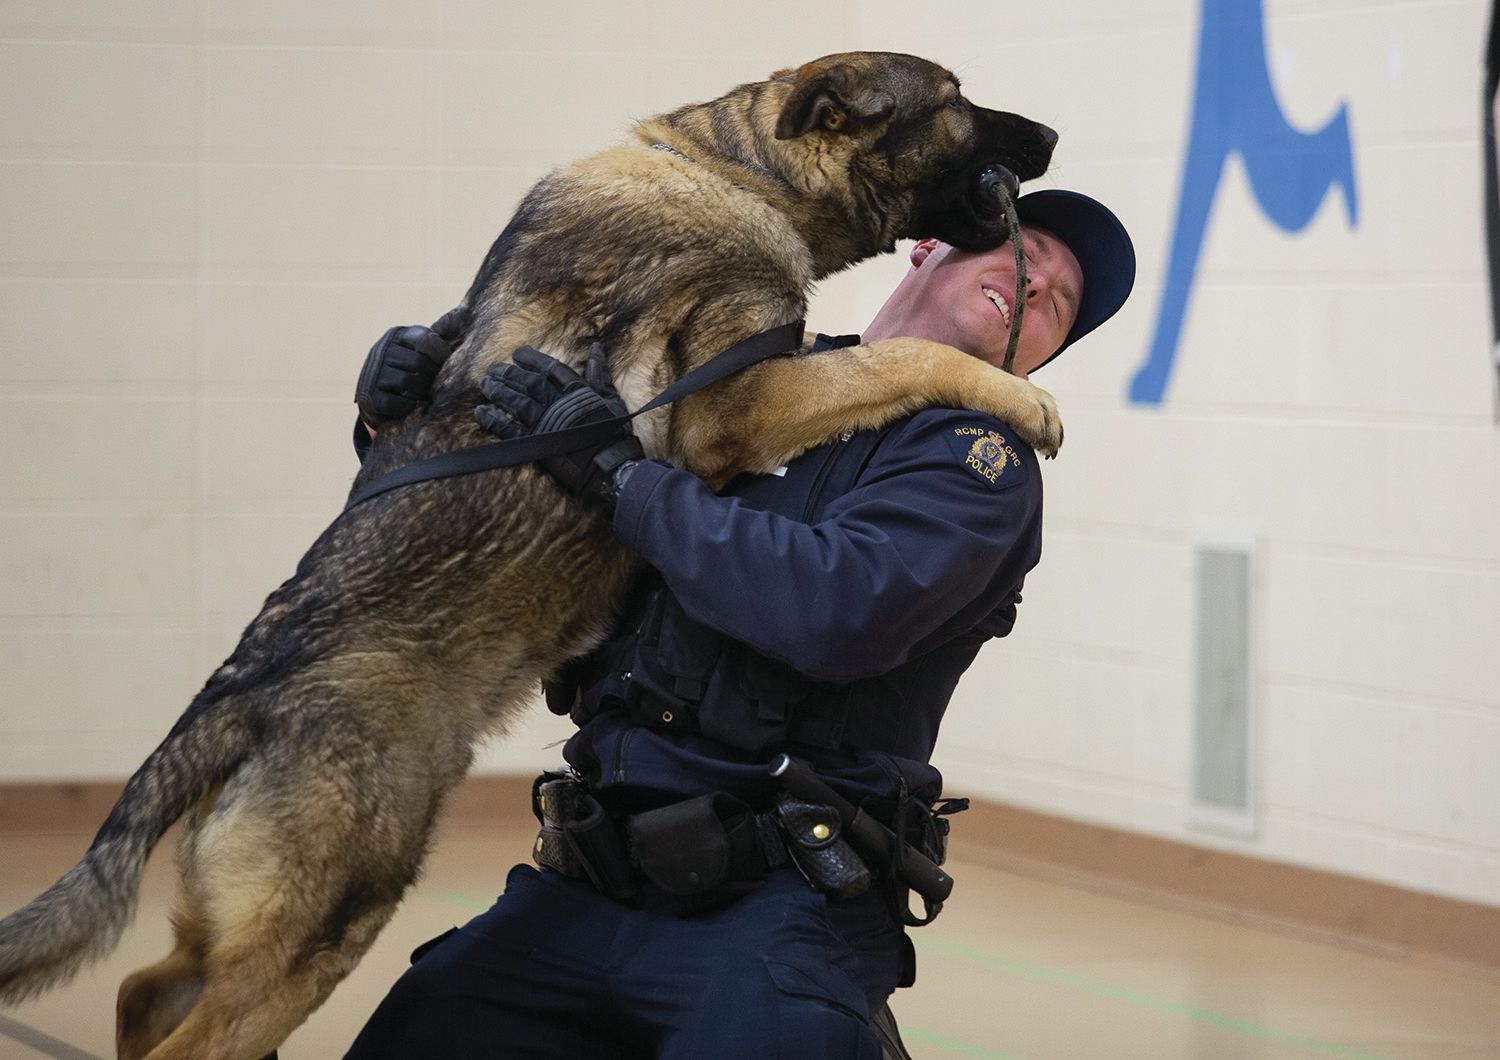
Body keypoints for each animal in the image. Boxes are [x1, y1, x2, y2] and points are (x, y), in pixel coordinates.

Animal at [0, 51, 1062, 1060]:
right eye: (955, 101)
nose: (1053, 133)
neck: (734, 169)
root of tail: (236, 694)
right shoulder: (738, 409)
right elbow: (908, 357)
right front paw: (1022, 400)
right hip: (320, 928)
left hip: (257, 929)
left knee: (146, 991)